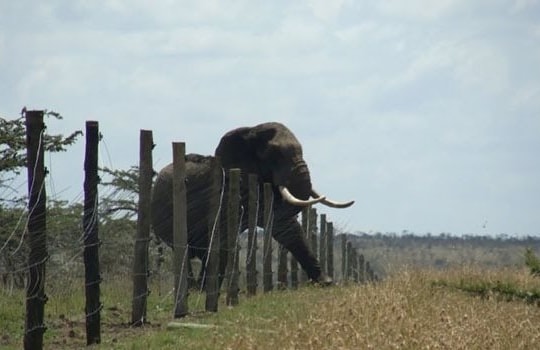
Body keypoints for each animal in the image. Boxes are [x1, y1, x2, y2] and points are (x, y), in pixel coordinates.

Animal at [152, 123, 354, 288]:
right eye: (274, 156)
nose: (328, 282)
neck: (249, 130)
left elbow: (284, 226)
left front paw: (325, 282)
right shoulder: (229, 190)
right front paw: (205, 291)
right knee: (183, 250)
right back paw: (192, 290)